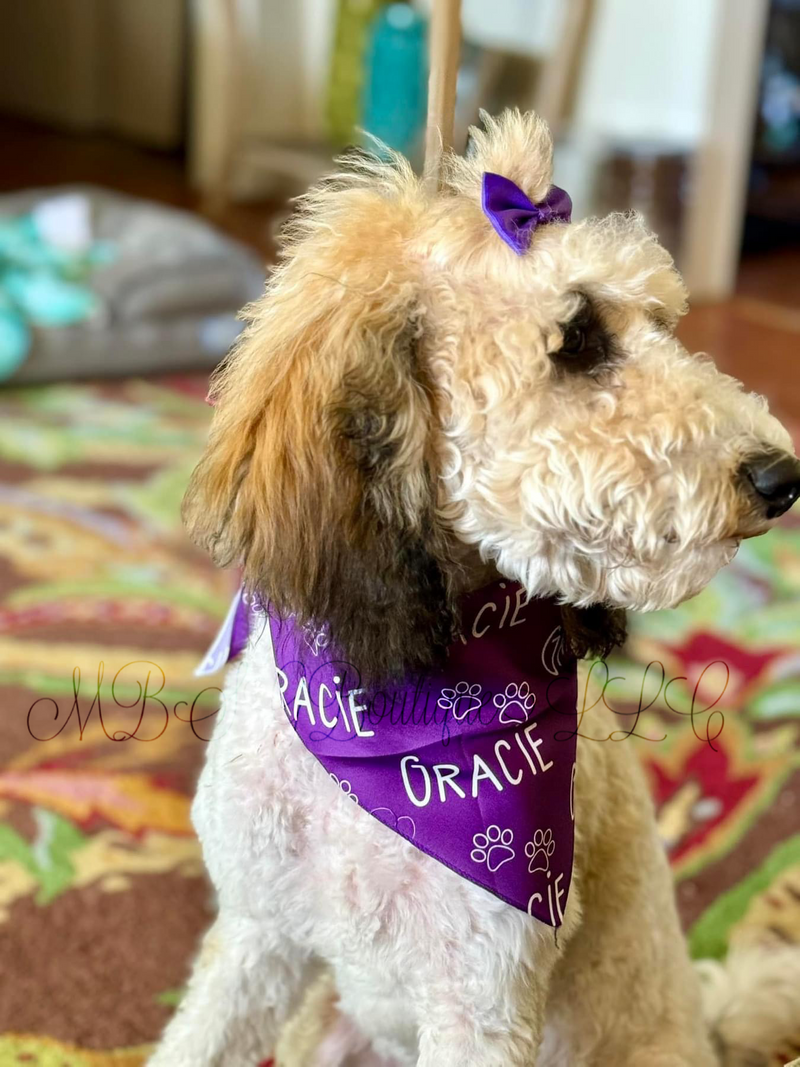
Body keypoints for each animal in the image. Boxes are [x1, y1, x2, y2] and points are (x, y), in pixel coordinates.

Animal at [149, 112, 800, 1062]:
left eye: (665, 322)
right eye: (579, 339)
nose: (783, 476)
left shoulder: (482, 1002)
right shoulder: (257, 936)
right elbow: (197, 1038)